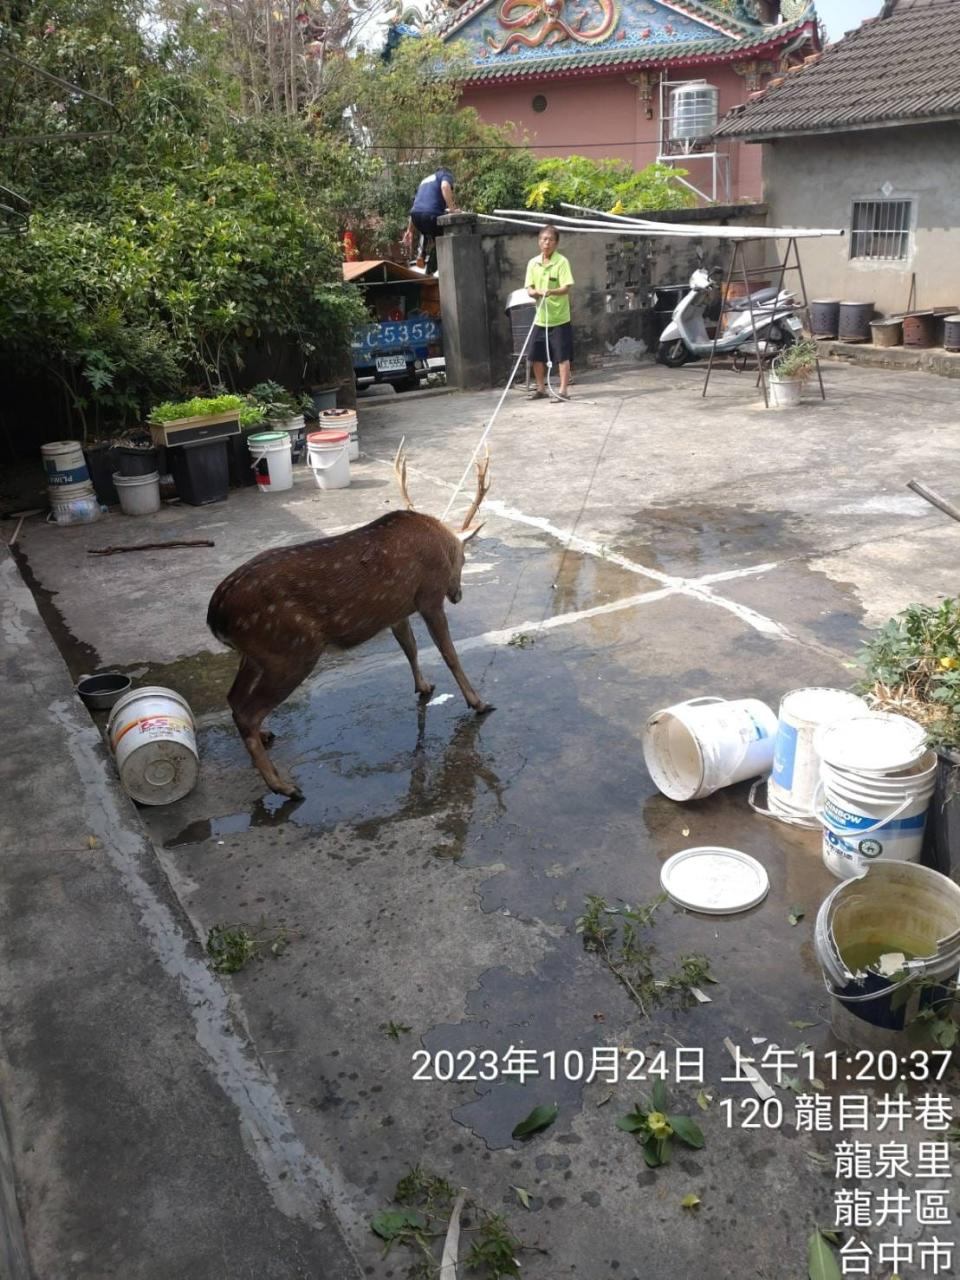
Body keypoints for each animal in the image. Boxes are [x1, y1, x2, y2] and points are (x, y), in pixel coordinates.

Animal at [209, 445, 496, 793]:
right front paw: (478, 702)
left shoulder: (396, 610)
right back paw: (283, 786)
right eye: (464, 559)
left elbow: (410, 647)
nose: (457, 595)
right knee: (248, 712)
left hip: (256, 654)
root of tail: (215, 614)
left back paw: (266, 738)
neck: (440, 542)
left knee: (234, 699)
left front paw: (424, 686)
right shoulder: (428, 597)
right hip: (290, 650)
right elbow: (449, 654)